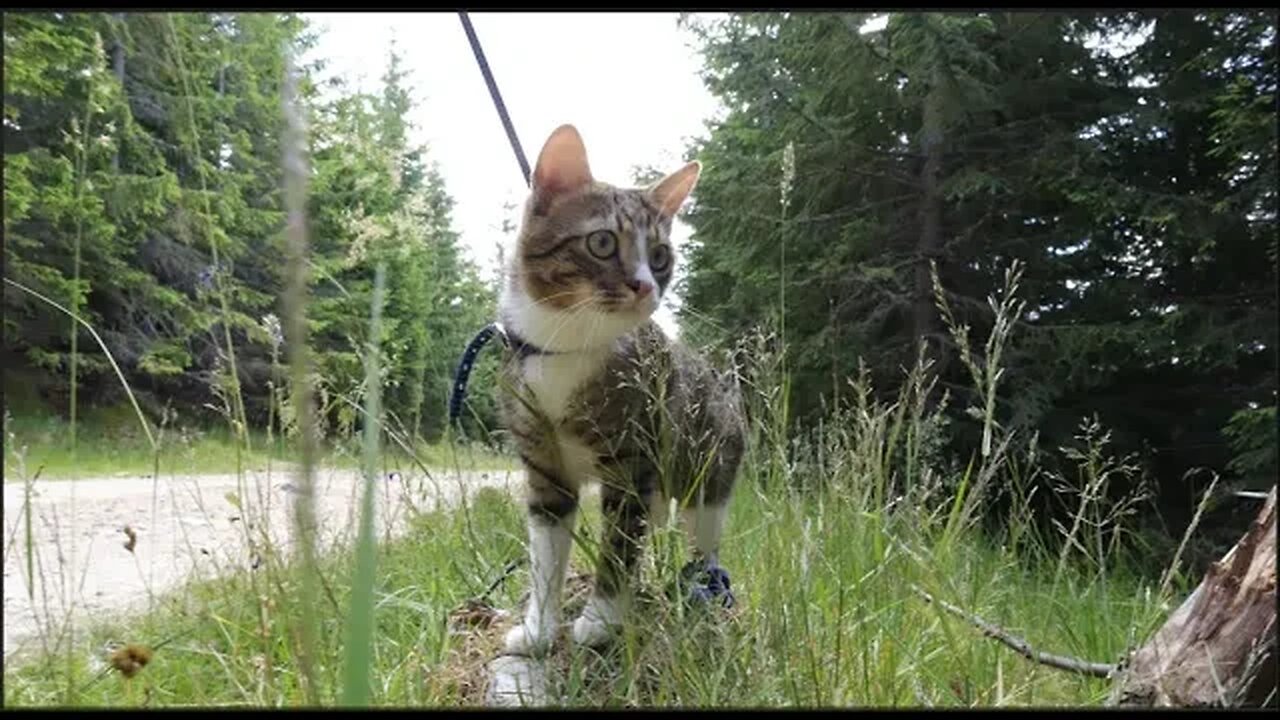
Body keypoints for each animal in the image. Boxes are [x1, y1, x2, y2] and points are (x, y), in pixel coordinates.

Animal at [494, 124, 747, 655]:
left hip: (705, 471)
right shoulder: (544, 469)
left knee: (701, 539)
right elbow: (546, 556)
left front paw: (601, 619)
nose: (646, 286)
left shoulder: (633, 459)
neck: (566, 346)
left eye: (660, 256)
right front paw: (539, 630)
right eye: (603, 242)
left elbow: (618, 543)